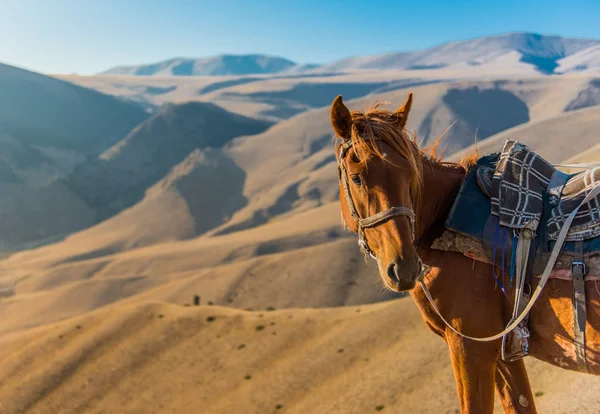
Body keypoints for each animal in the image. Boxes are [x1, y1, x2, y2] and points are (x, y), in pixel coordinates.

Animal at [330, 94, 600, 414]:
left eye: (410, 175)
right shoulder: (504, 353)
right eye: (357, 178)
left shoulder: (471, 347)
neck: (441, 222)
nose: (404, 268)